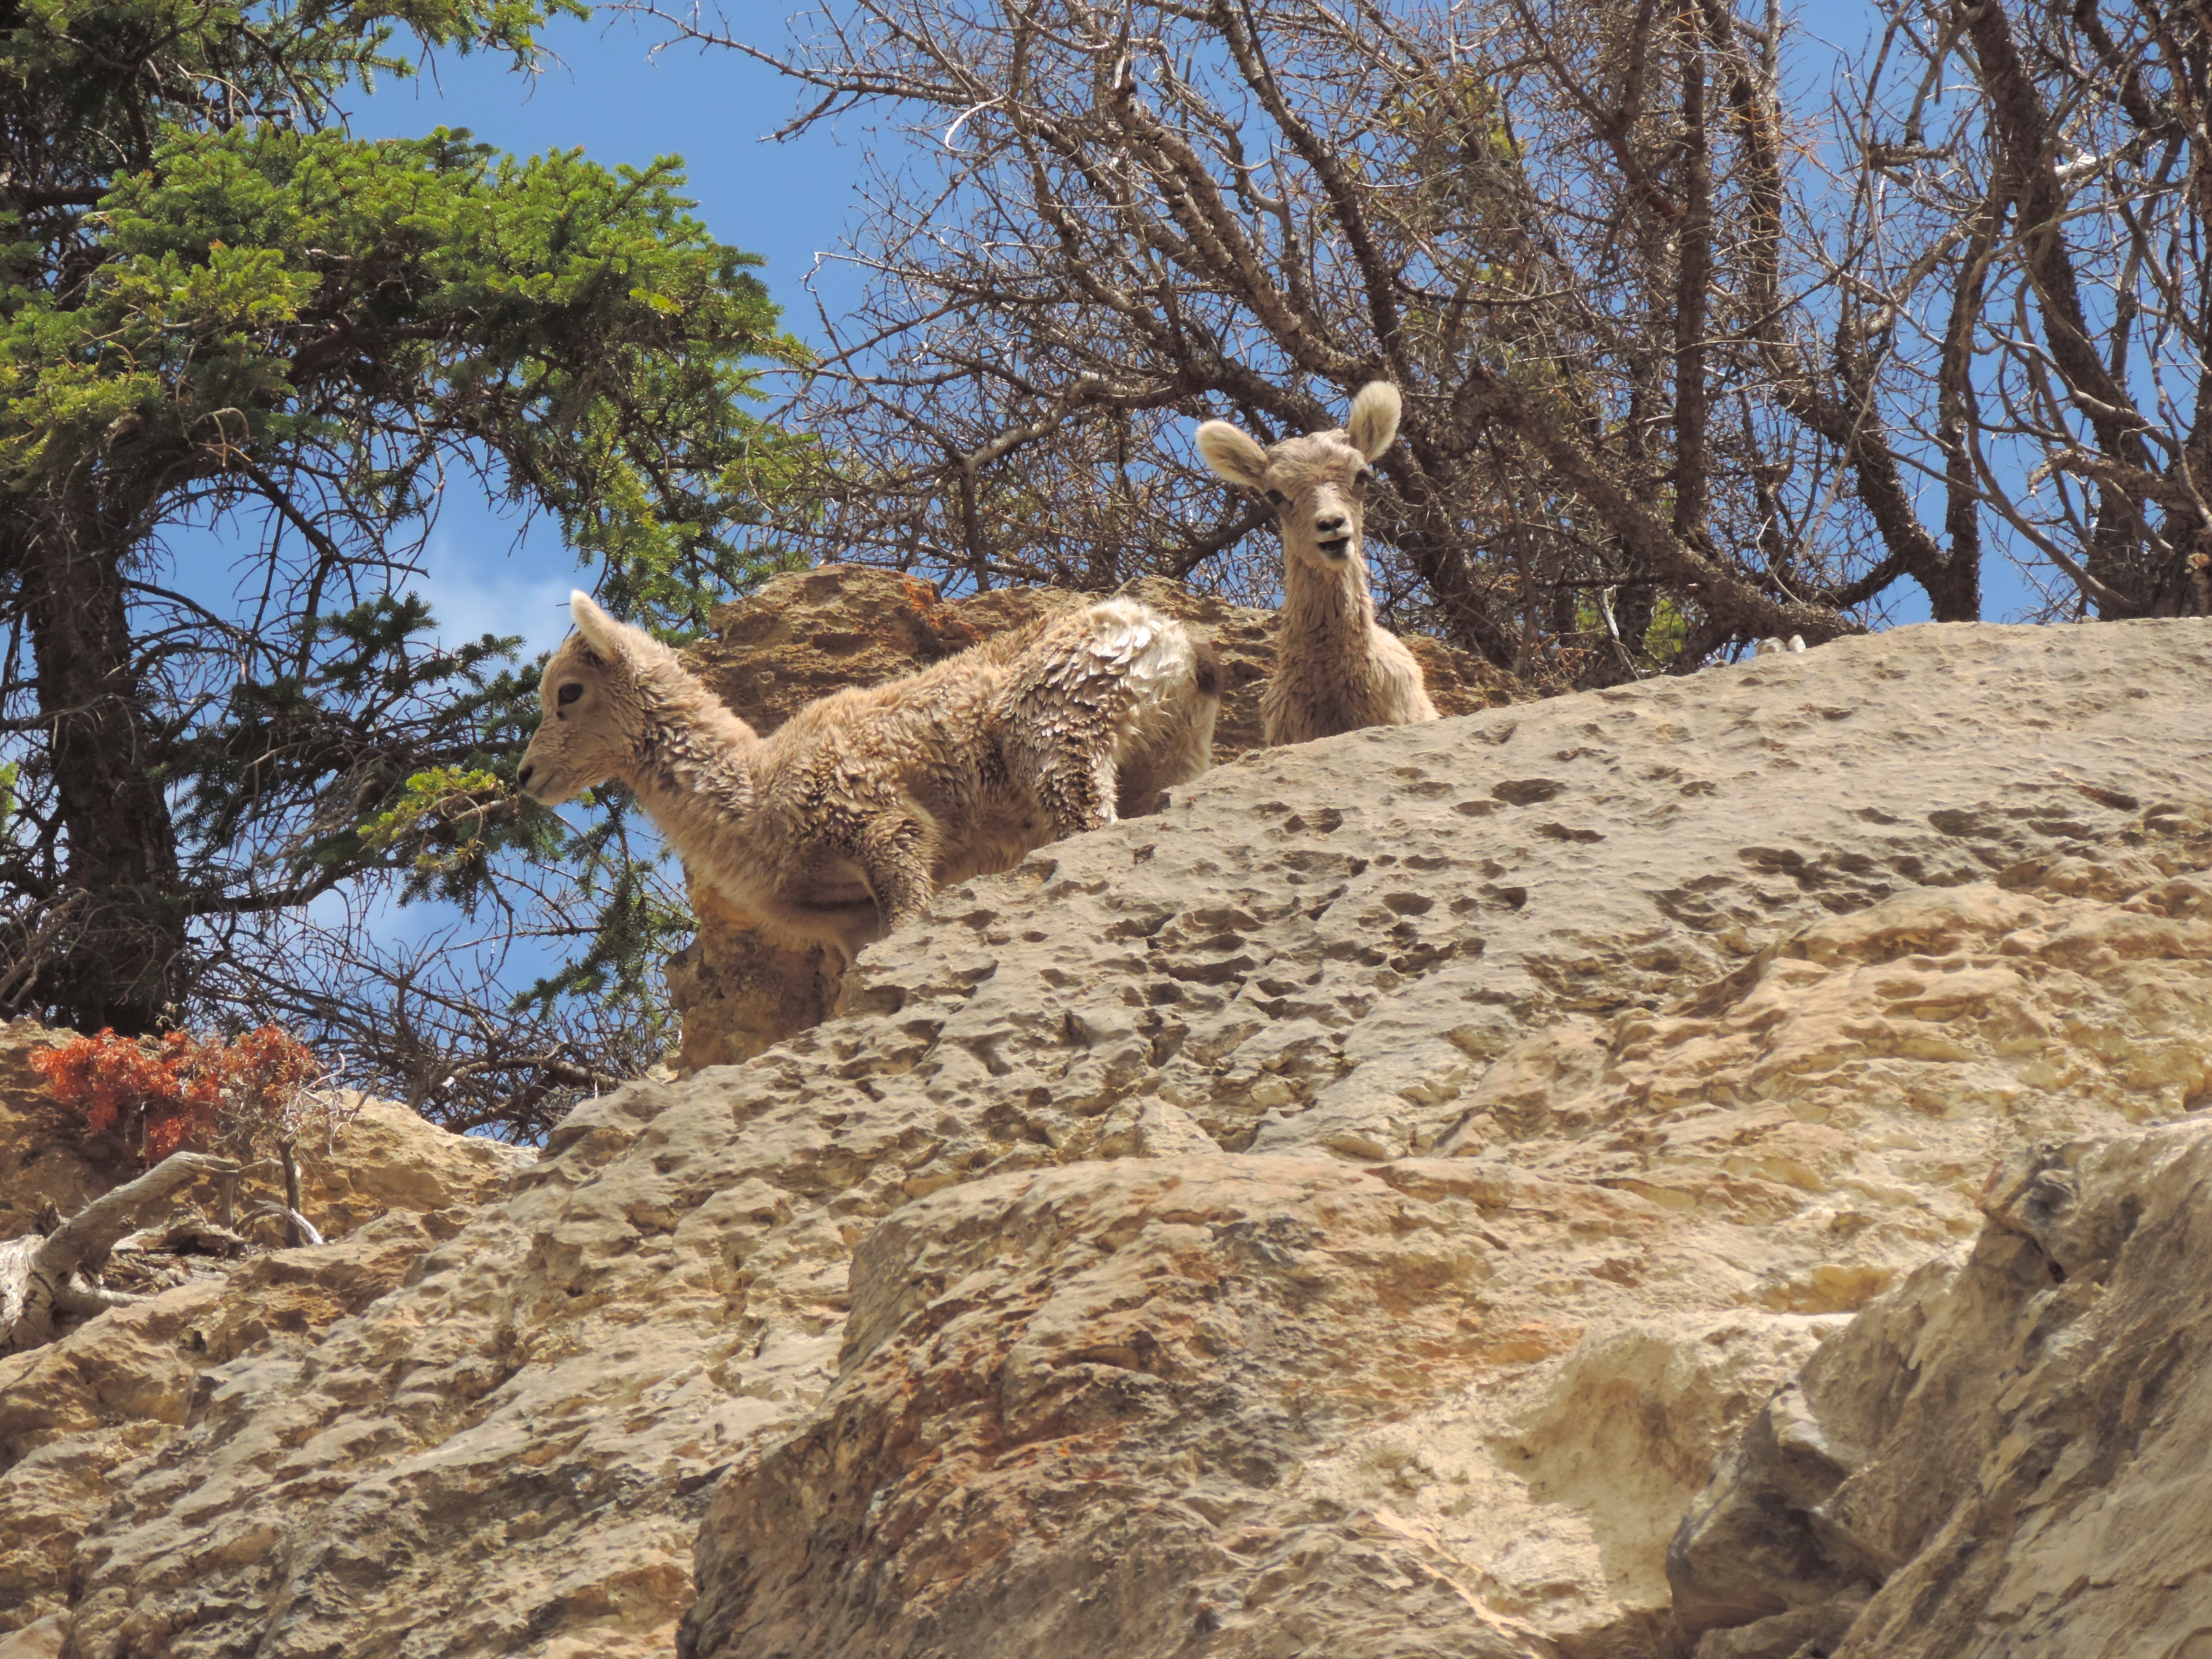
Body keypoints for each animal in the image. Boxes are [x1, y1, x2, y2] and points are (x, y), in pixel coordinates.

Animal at [518, 591, 1220, 965]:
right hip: (1170, 753)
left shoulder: (884, 830)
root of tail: (1174, 641)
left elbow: (908, 922)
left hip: (1057, 729)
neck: (753, 787)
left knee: (1092, 822)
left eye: (569, 693)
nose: (527, 775)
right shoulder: (844, 923)